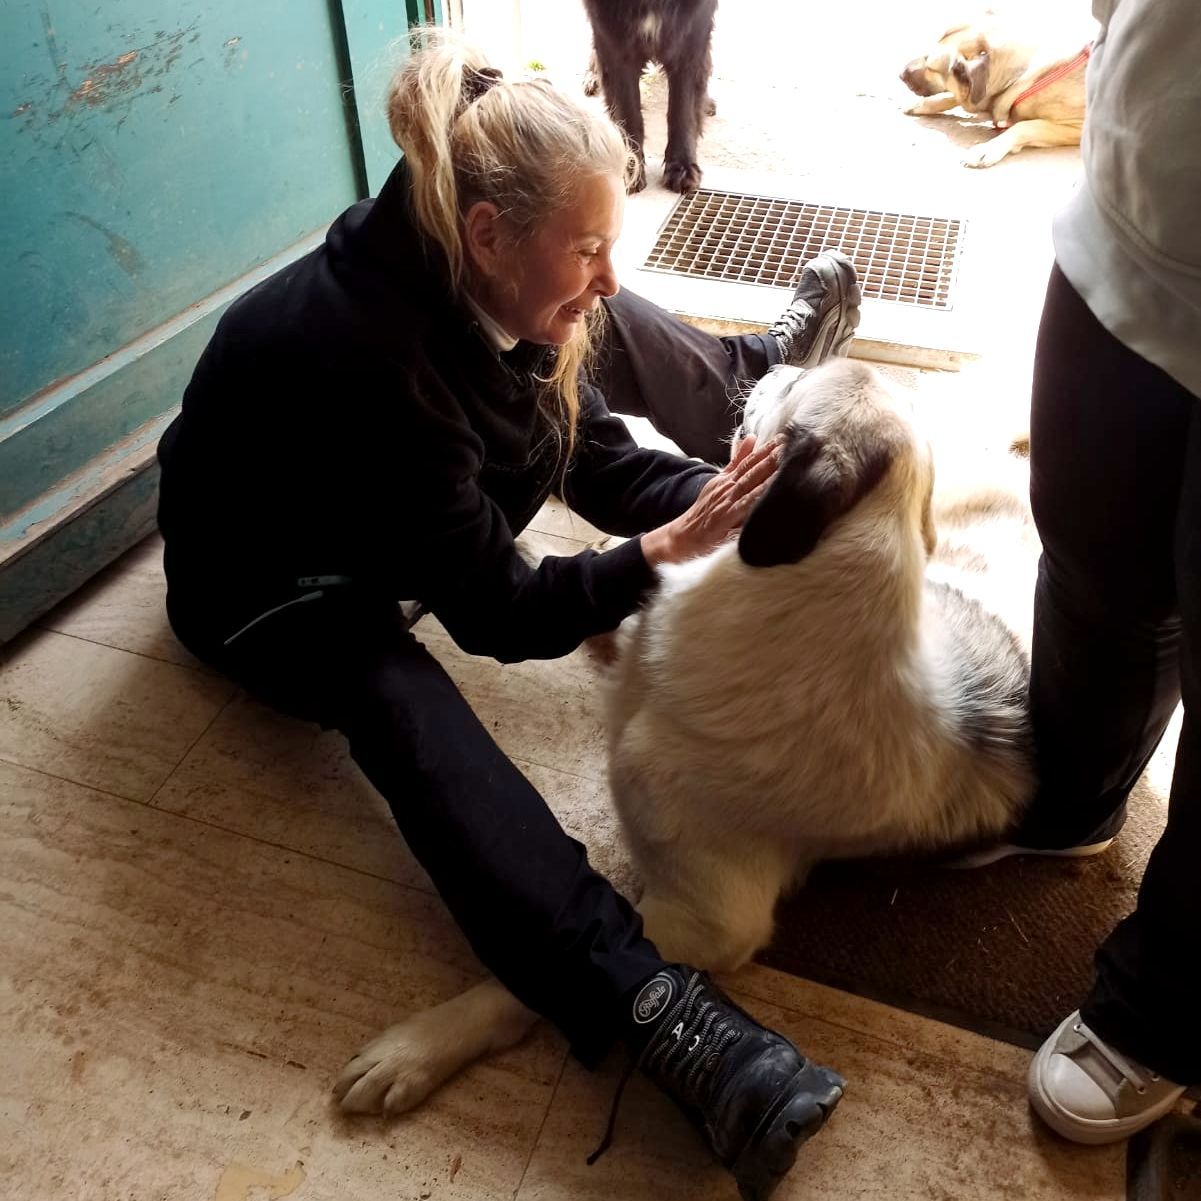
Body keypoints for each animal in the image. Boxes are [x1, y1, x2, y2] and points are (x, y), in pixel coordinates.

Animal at [582, 0, 719, 193]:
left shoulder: (692, 35)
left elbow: (683, 111)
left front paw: (682, 168)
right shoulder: (613, 39)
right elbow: (627, 112)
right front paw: (630, 170)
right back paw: (592, 78)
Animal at [900, 12, 1093, 168]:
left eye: (929, 66)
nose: (901, 74)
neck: (1017, 75)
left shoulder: (1079, 127)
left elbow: (1025, 126)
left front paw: (988, 149)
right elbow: (956, 96)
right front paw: (923, 104)